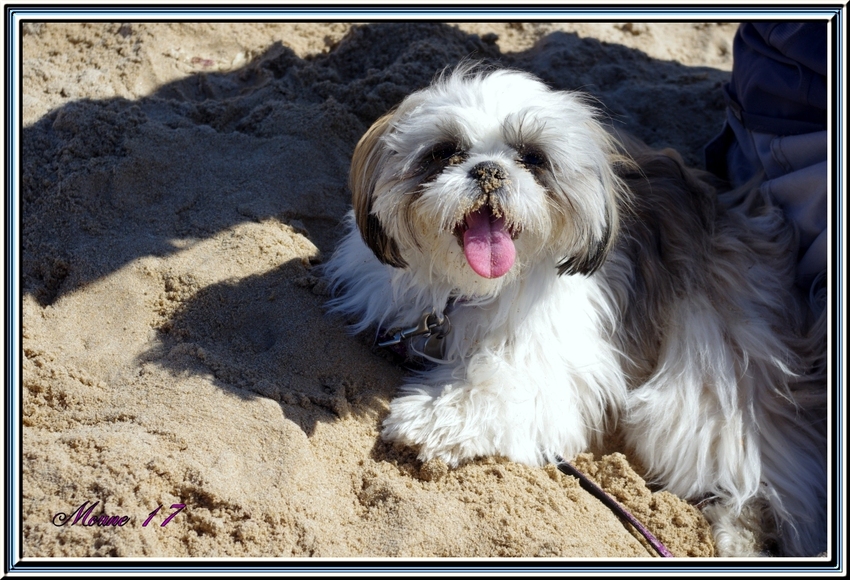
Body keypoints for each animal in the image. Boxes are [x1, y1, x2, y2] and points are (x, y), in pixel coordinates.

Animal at [322, 64, 824, 556]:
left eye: (533, 157)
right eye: (444, 151)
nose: (489, 170)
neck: (466, 288)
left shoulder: (556, 365)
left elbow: (499, 386)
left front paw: (429, 417)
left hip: (702, 390)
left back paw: (739, 535)